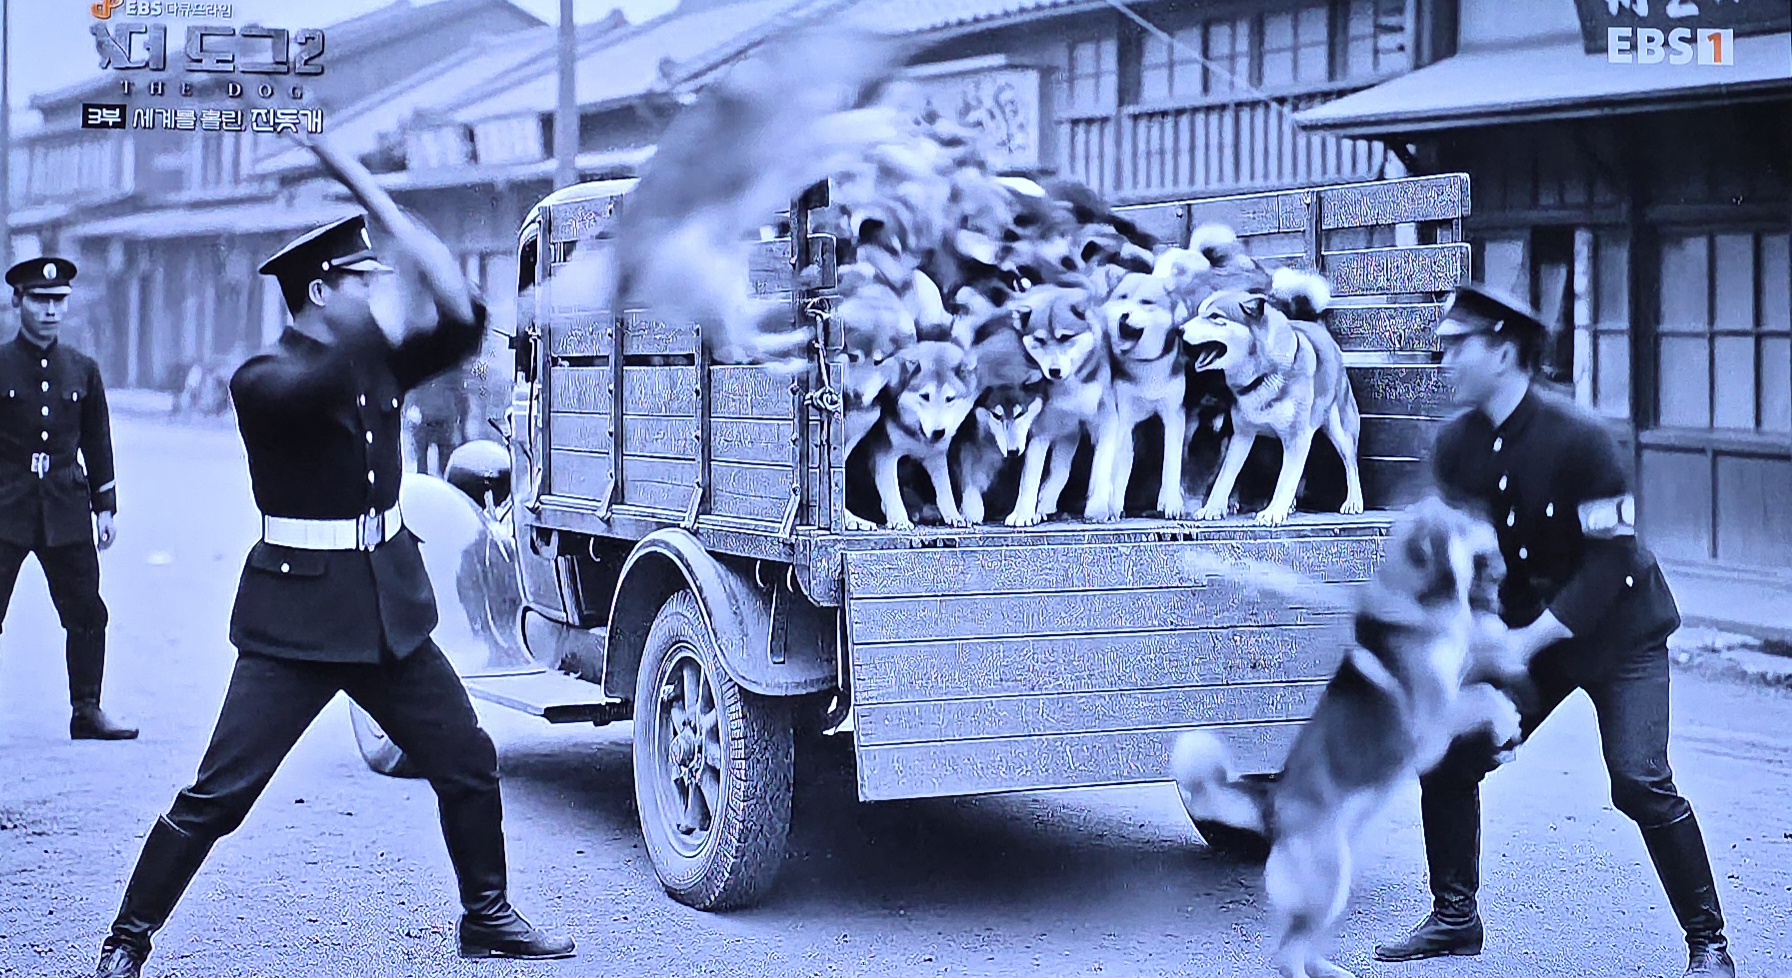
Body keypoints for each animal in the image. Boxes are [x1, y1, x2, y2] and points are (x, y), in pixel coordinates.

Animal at [870, 339, 979, 529]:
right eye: (925, 396)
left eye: (950, 399)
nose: (939, 432)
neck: (915, 436)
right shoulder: (886, 455)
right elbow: (892, 490)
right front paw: (899, 519)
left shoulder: (936, 457)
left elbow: (945, 490)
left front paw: (954, 515)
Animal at [1006, 284, 1114, 526]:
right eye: (1040, 341)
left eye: (1066, 338)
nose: (1054, 371)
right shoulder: (1043, 430)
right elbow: (1030, 478)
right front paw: (1023, 513)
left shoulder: (1107, 421)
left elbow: (1101, 465)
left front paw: (1098, 508)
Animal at [1171, 498, 1522, 978]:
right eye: (1461, 523)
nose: (1487, 515)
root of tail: (1272, 806)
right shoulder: (1432, 723)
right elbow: (1484, 695)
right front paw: (1507, 722)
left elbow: (1484, 679)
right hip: (1328, 880)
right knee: (1286, 952)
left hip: (1336, 880)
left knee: (1304, 944)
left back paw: (1331, 969)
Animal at [1181, 273, 1363, 526]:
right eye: (1199, 313)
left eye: (1215, 317)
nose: (1178, 330)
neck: (1262, 375)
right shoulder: (1242, 435)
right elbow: (1225, 477)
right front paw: (1213, 507)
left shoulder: (1297, 437)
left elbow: (1286, 479)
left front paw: (1273, 511)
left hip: (1340, 428)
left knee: (1350, 464)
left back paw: (1353, 501)